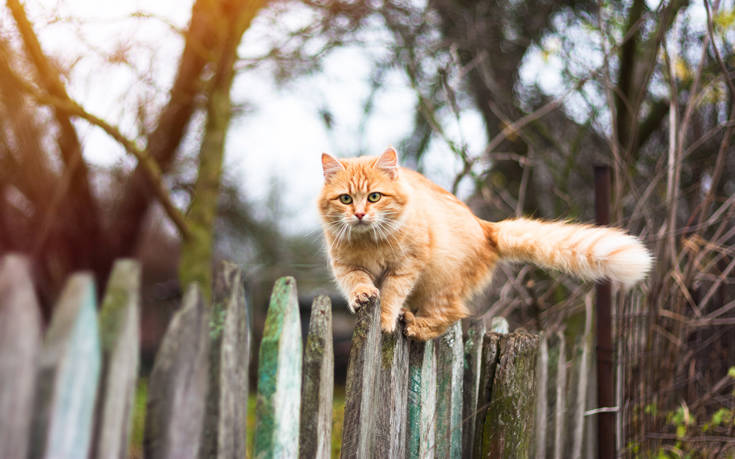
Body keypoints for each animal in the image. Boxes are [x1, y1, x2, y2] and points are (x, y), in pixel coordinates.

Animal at [320, 147, 652, 342]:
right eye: (346, 199)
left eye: (374, 197)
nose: (360, 214)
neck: (369, 241)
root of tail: (484, 226)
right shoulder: (345, 266)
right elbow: (358, 282)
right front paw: (363, 295)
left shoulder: (407, 266)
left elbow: (390, 295)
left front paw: (386, 320)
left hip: (440, 285)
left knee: (450, 316)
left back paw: (415, 326)